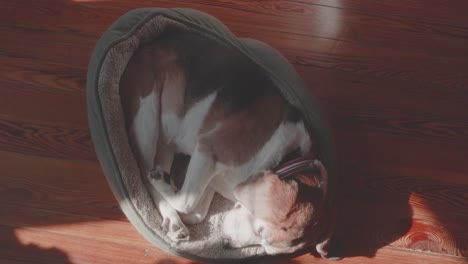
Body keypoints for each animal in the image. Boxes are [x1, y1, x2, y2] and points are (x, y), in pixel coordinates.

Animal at [119, 32, 334, 256]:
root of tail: (146, 45)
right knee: (144, 171)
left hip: (166, 138)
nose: (225, 244)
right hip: (146, 117)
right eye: (260, 231)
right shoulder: (208, 150)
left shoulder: (211, 178)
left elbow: (197, 212)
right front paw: (167, 189)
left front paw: (176, 197)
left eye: (266, 248)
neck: (283, 157)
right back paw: (170, 214)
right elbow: (187, 202)